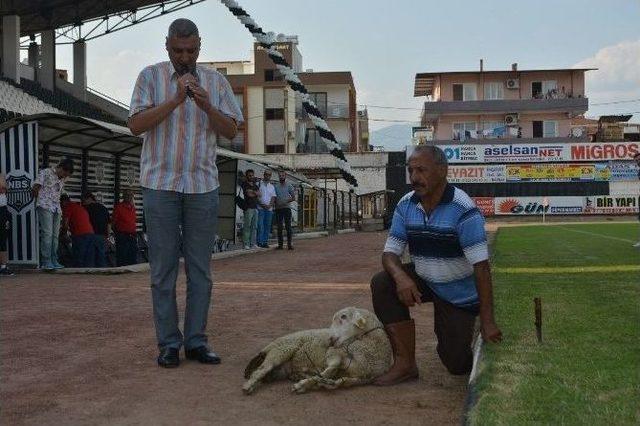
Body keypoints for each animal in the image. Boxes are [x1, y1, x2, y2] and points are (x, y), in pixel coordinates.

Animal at [242, 306, 390, 396]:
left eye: (343, 317)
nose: (329, 339)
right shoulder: (334, 352)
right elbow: (331, 369)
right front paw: (305, 384)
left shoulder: (360, 378)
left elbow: (340, 382)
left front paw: (322, 383)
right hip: (282, 349)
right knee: (261, 369)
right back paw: (249, 386)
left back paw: (298, 375)